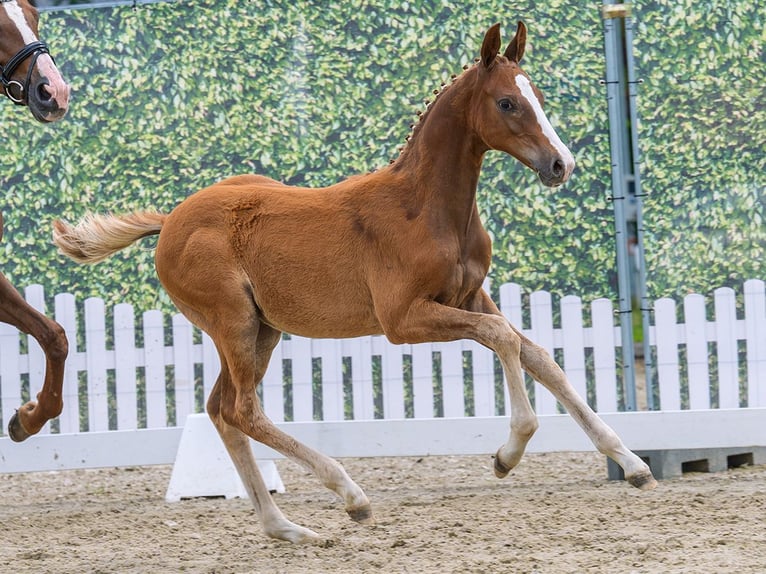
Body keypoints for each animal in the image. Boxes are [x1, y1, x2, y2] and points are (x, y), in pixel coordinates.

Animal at [54, 22, 657, 543]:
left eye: (538, 95)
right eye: (507, 102)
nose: (561, 165)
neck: (427, 210)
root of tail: (170, 221)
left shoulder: (470, 296)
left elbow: (540, 357)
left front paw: (633, 464)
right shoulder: (404, 318)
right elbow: (504, 339)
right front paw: (507, 455)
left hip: (262, 329)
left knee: (221, 409)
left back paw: (286, 528)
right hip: (234, 322)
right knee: (243, 409)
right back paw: (350, 496)